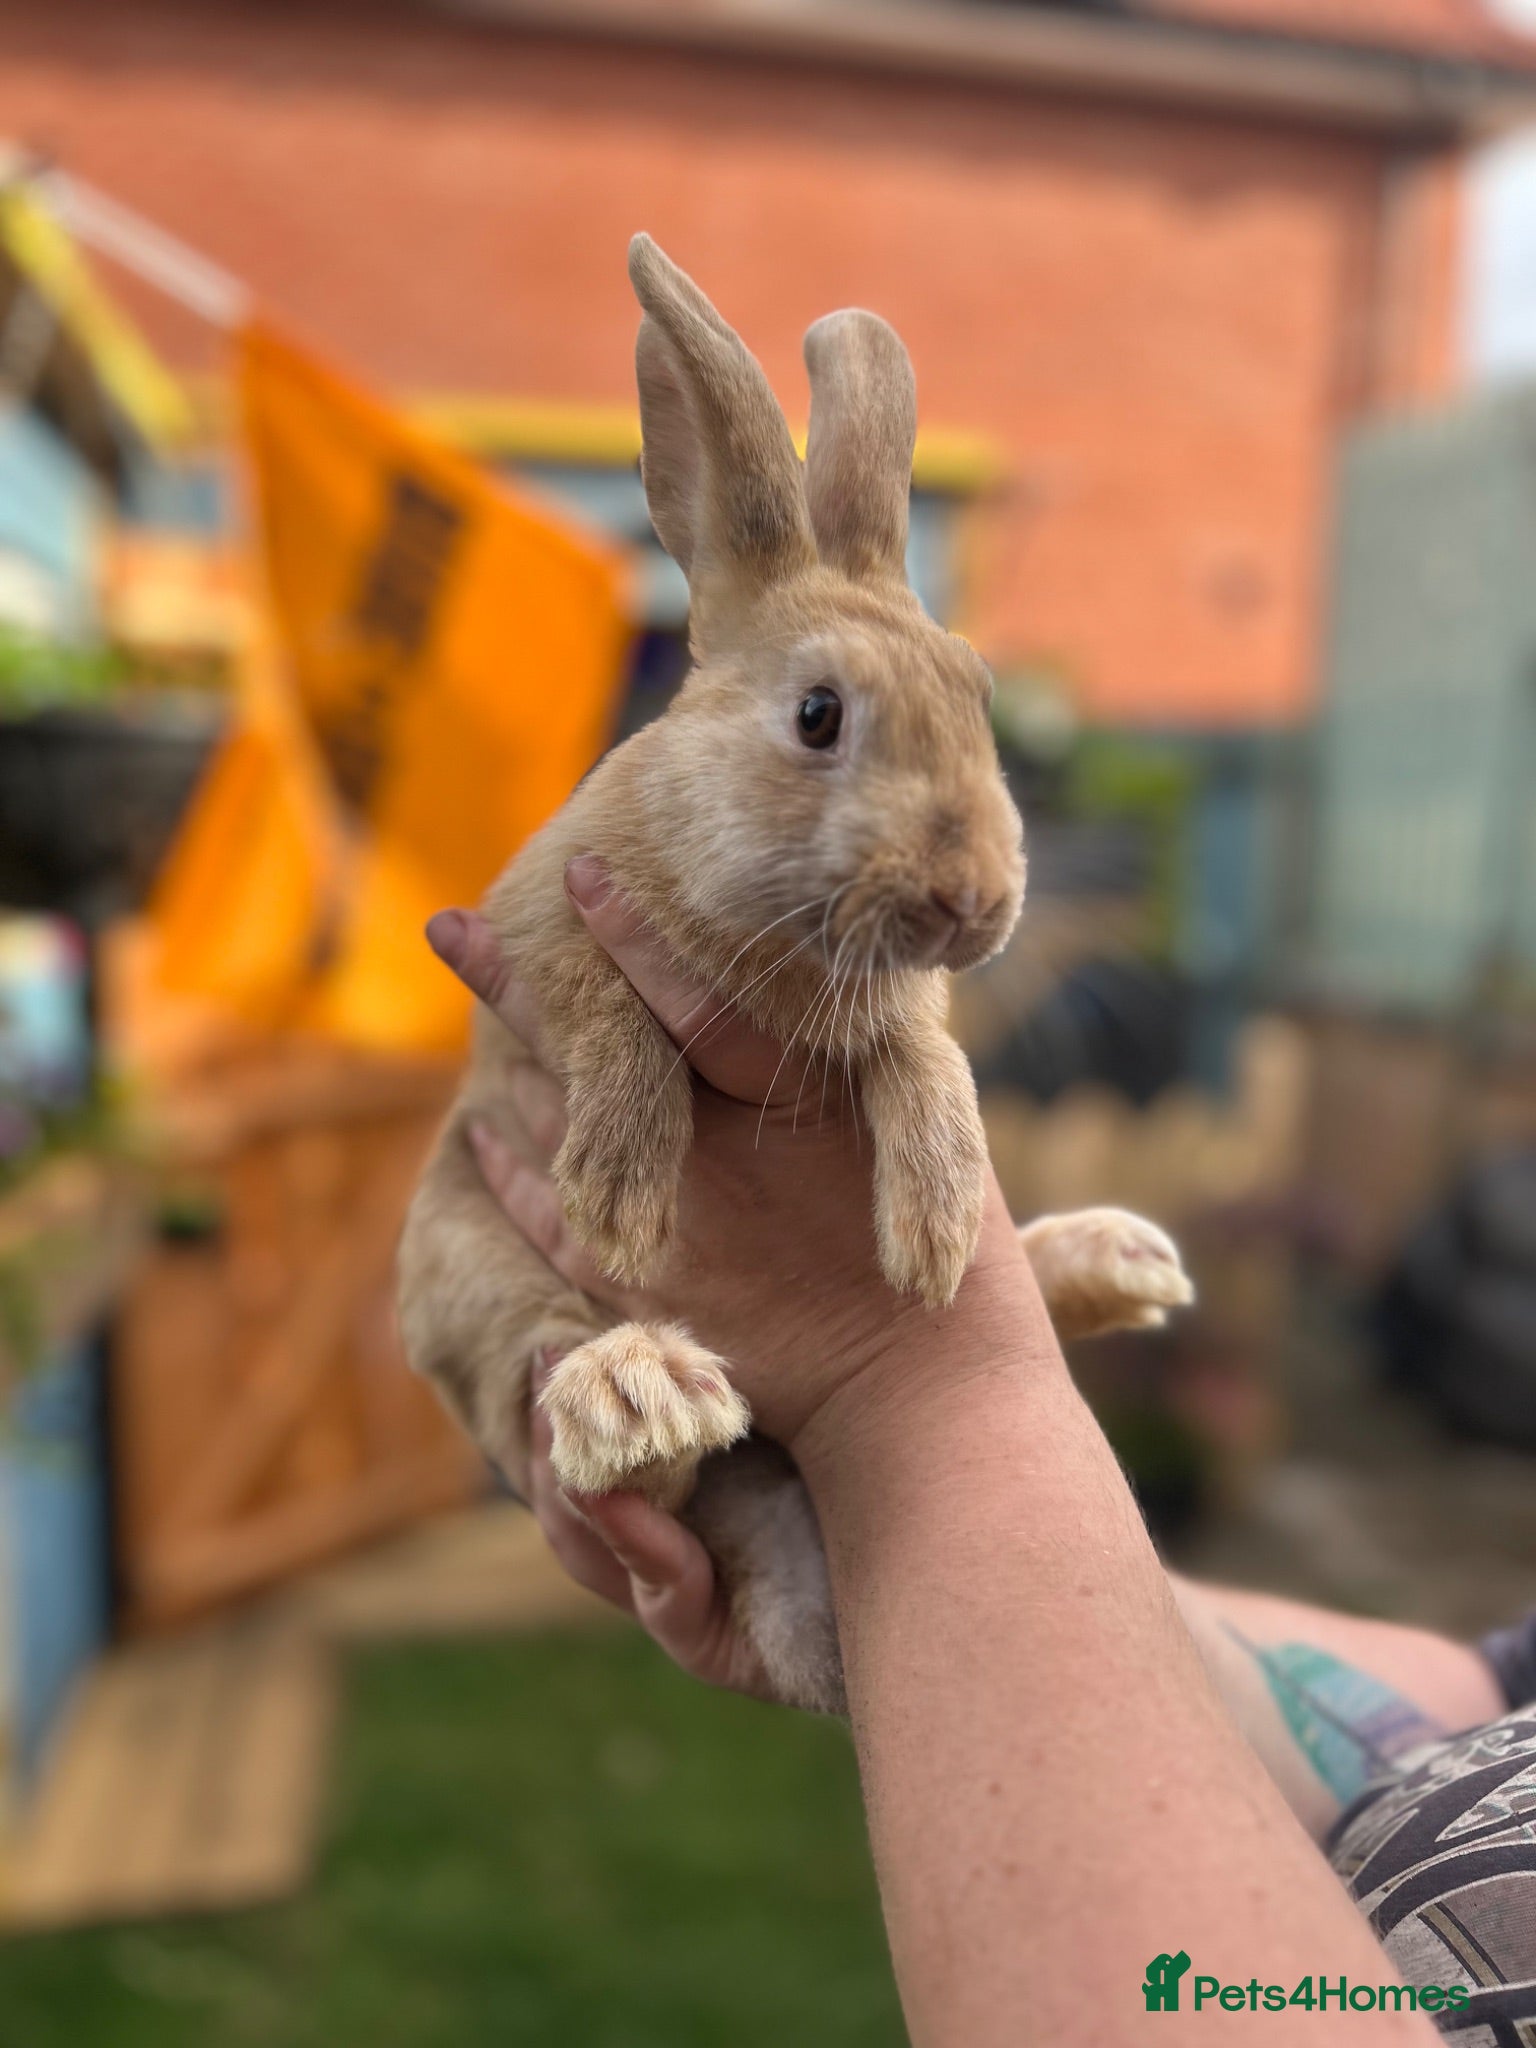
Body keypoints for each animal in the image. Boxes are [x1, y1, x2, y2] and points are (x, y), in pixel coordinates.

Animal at [397, 235, 1193, 1713]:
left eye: (980, 698)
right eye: (818, 715)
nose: (972, 899)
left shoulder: (902, 1005)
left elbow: (923, 1055)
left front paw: (933, 1230)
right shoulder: (542, 932)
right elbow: (607, 1011)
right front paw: (625, 1192)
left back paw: (1111, 1260)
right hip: (460, 1264)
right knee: (594, 1436)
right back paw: (640, 1387)